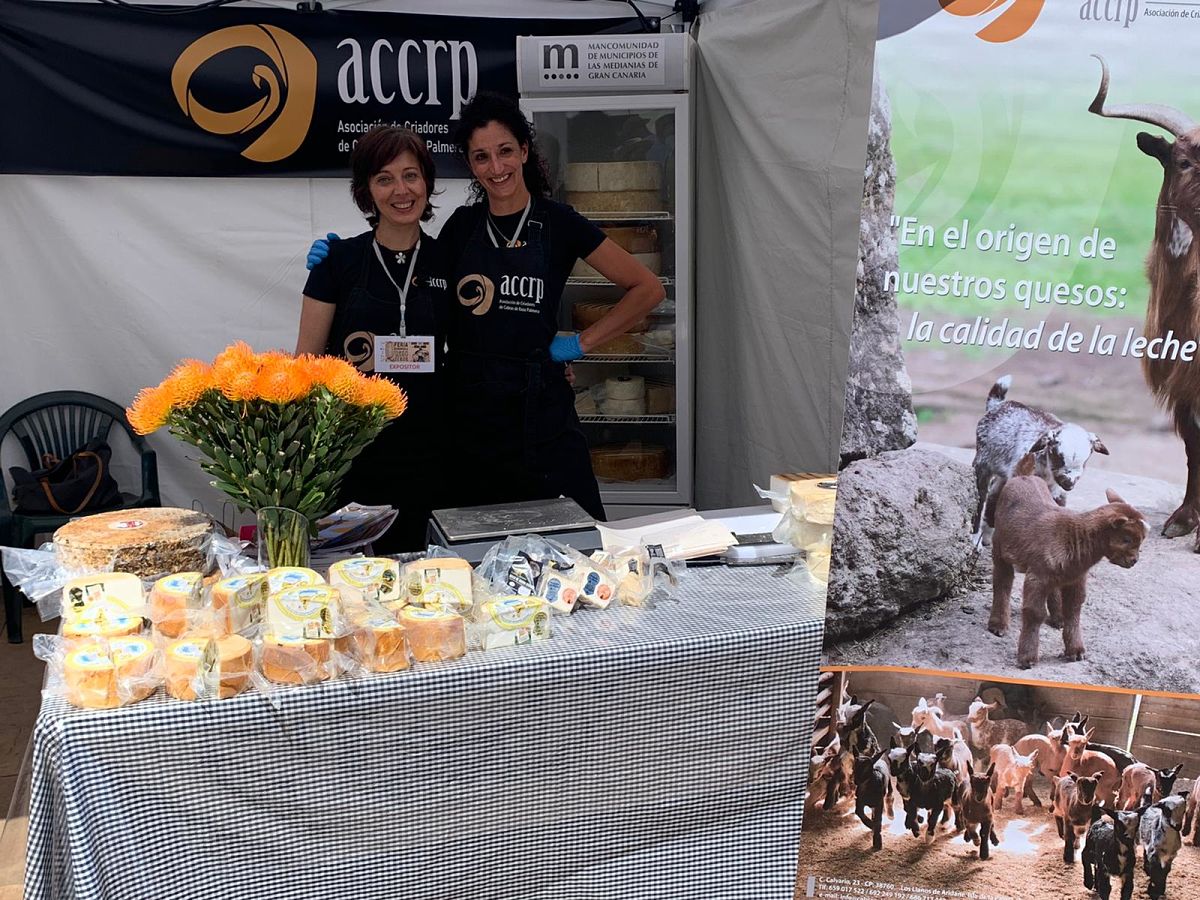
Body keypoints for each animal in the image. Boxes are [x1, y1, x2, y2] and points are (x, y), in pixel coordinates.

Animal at [988, 480, 1147, 672]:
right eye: (1126, 539)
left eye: (1142, 539)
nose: (1134, 561)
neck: (1075, 537)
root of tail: (1024, 477)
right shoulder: (1037, 576)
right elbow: (1035, 613)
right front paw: (1027, 659)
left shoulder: (1076, 577)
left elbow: (1074, 609)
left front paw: (1076, 651)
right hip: (999, 545)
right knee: (1002, 581)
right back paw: (998, 625)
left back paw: (1057, 619)